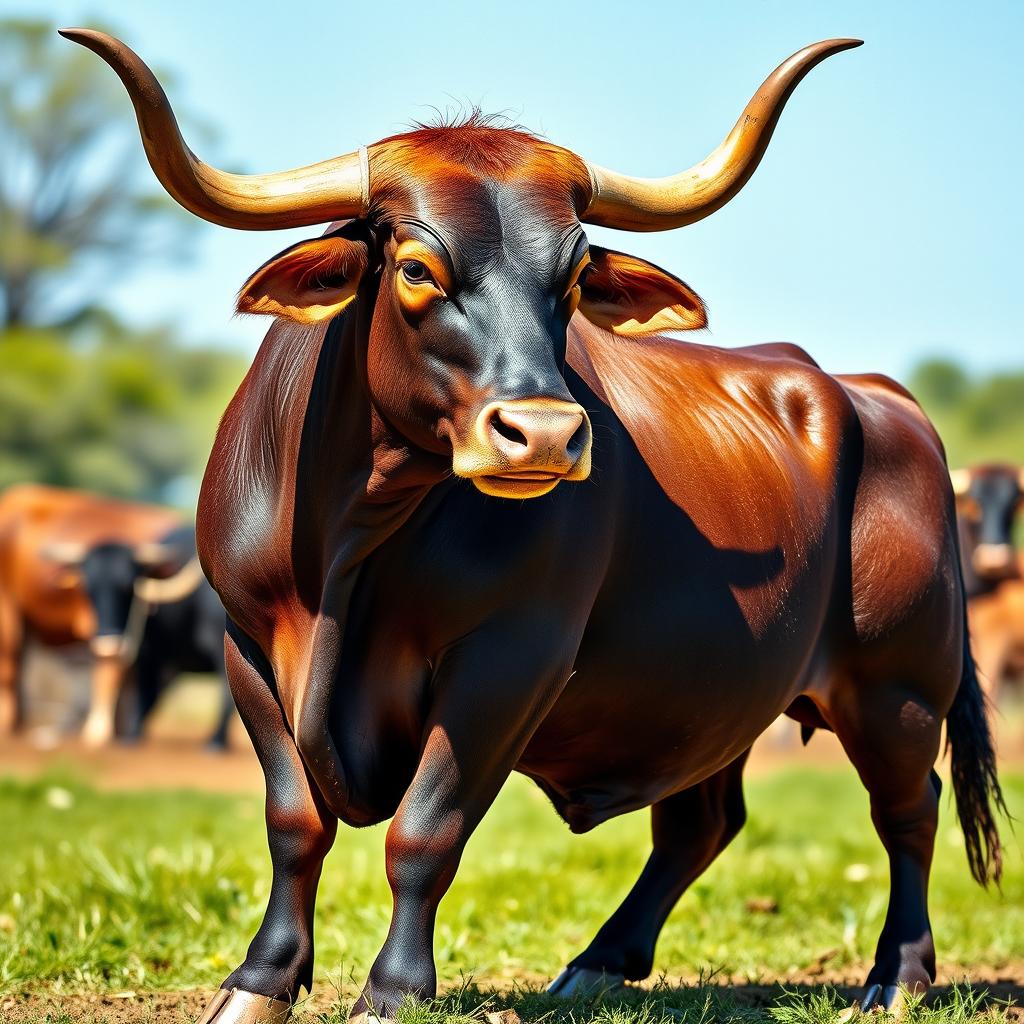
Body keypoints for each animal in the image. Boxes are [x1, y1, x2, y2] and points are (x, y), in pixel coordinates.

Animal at [0, 485, 234, 747]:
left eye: (127, 586)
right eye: (88, 589)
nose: (109, 640)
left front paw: (108, 732)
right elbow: (133, 686)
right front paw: (113, 732)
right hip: (8, 610)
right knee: (11, 665)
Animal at [65, 28, 1005, 1024]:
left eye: (577, 274)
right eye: (416, 268)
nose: (546, 433)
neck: (347, 547)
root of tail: (869, 392)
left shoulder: (511, 660)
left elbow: (425, 831)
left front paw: (392, 993)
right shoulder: (247, 647)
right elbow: (294, 821)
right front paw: (259, 982)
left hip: (899, 684)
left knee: (908, 808)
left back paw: (896, 975)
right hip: (718, 687)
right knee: (702, 821)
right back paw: (598, 962)